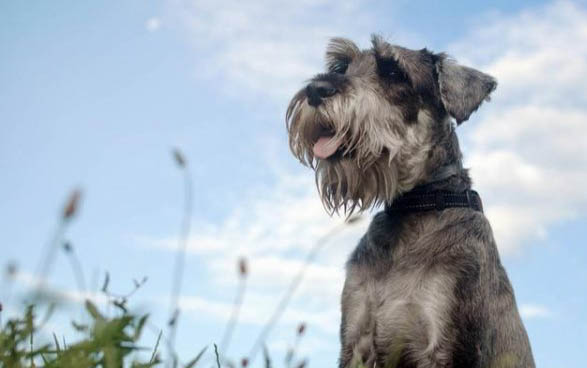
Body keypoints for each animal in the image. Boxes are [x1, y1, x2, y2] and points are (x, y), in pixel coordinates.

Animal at [288, 35, 536, 368]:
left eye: (394, 72)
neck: (415, 206)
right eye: (342, 67)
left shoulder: (442, 344)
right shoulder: (356, 338)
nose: (316, 90)